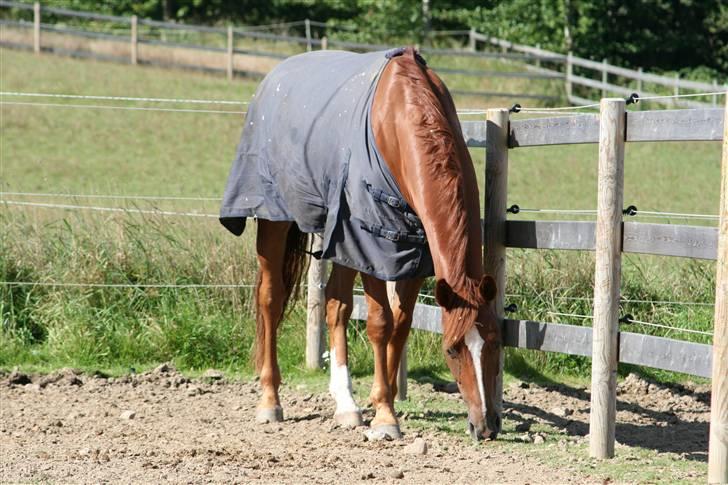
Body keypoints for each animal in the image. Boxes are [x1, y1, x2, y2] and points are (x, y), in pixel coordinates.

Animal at [233, 48, 500, 438]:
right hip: (274, 221)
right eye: (452, 350)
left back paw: (346, 405)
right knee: (270, 298)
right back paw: (270, 401)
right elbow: (380, 323)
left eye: (495, 341)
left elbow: (401, 324)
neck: (400, 116)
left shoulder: (413, 254)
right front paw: (386, 416)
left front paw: (379, 401)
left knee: (335, 305)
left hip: (342, 243)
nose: (486, 426)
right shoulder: (373, 245)